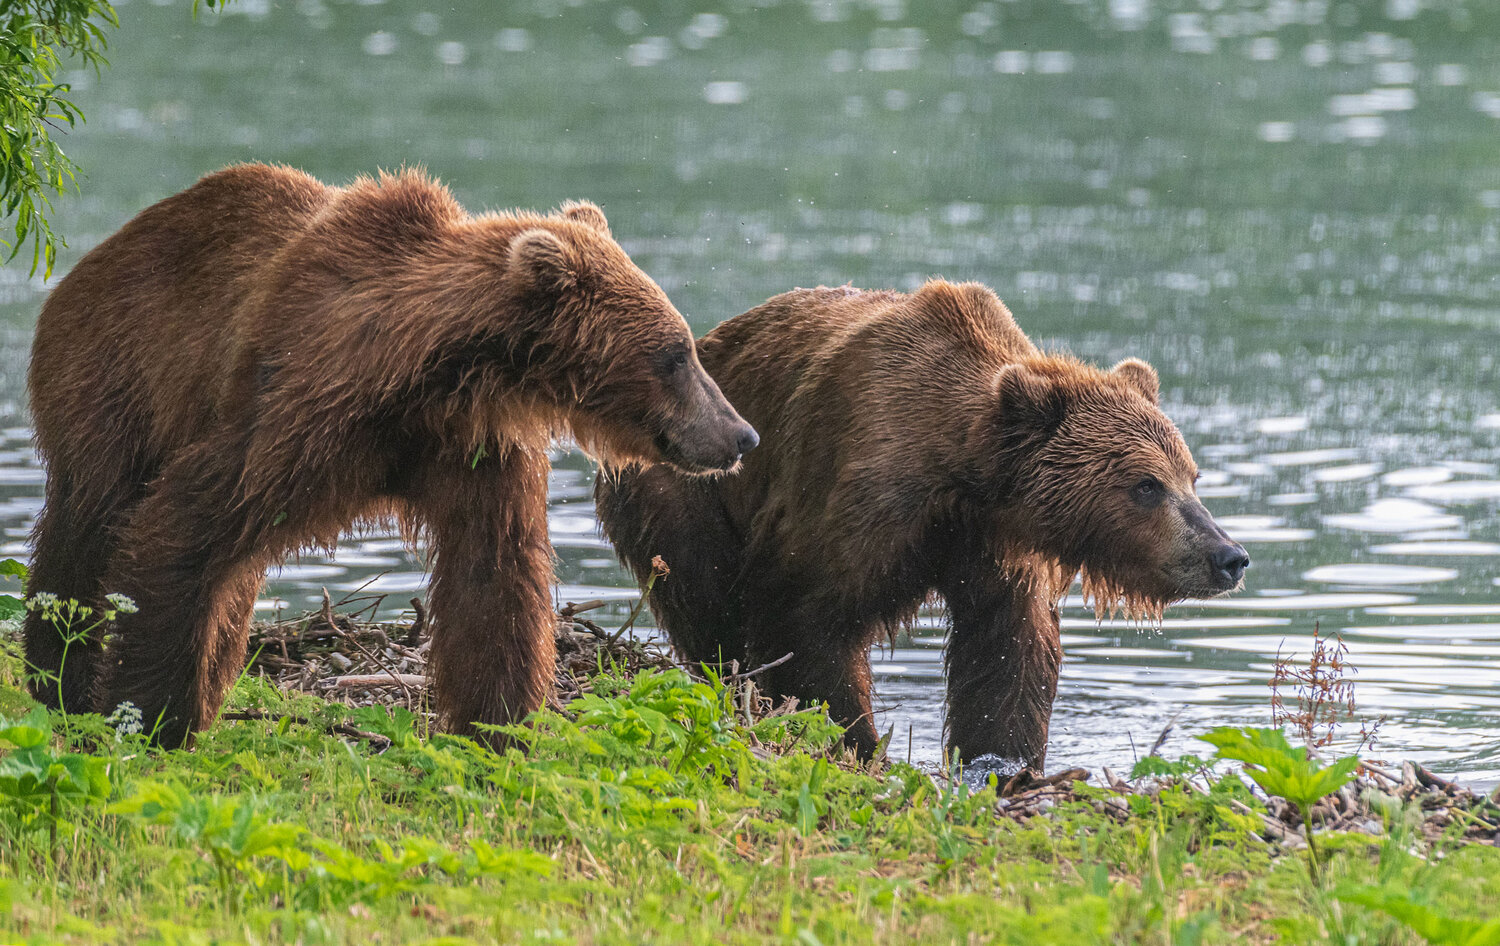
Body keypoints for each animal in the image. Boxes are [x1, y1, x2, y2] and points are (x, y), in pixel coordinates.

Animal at [24, 163, 758, 747]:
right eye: (676, 354)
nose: (741, 435)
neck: (430, 373)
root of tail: (93, 256)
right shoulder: (293, 414)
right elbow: (179, 528)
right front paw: (148, 716)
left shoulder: (472, 447)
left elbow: (495, 579)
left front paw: (498, 728)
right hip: (112, 376)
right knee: (88, 525)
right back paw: (56, 677)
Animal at [596, 280, 1247, 771]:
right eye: (1145, 485)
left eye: (1191, 477)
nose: (1229, 556)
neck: (961, 470)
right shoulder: (859, 498)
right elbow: (807, 619)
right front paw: (854, 741)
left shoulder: (997, 545)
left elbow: (1009, 652)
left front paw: (1000, 762)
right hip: (679, 483)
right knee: (706, 594)